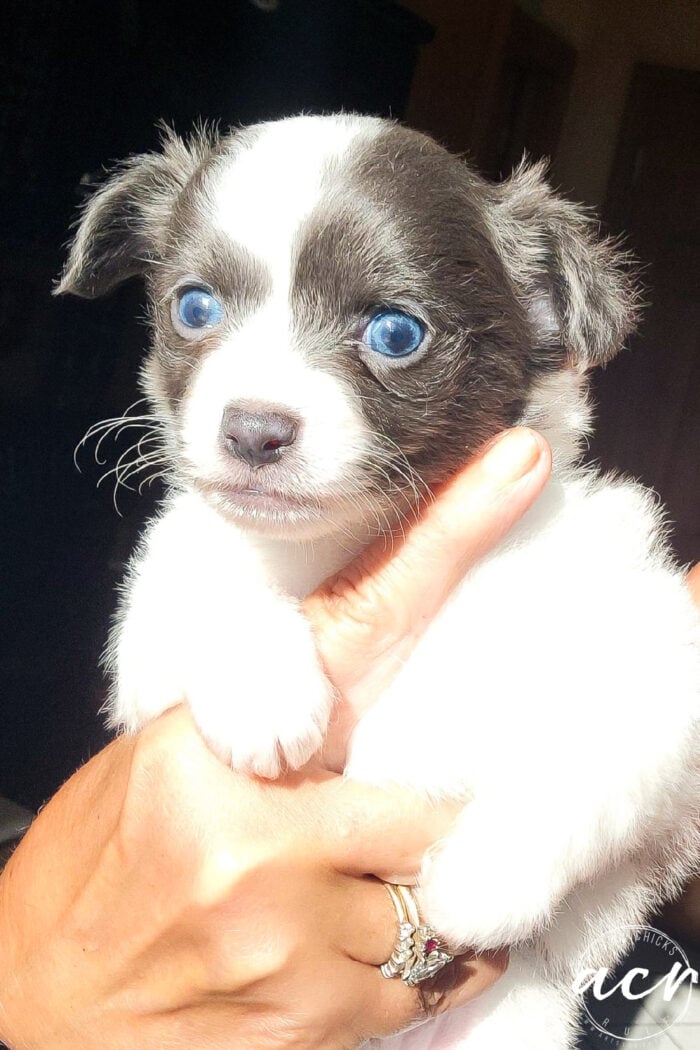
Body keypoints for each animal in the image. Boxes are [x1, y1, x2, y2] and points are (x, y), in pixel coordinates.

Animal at [57, 114, 696, 1050]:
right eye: (194, 308)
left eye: (397, 334)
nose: (253, 430)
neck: (358, 542)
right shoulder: (147, 654)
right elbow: (205, 579)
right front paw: (263, 690)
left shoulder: (658, 663)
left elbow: (586, 763)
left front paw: (484, 877)